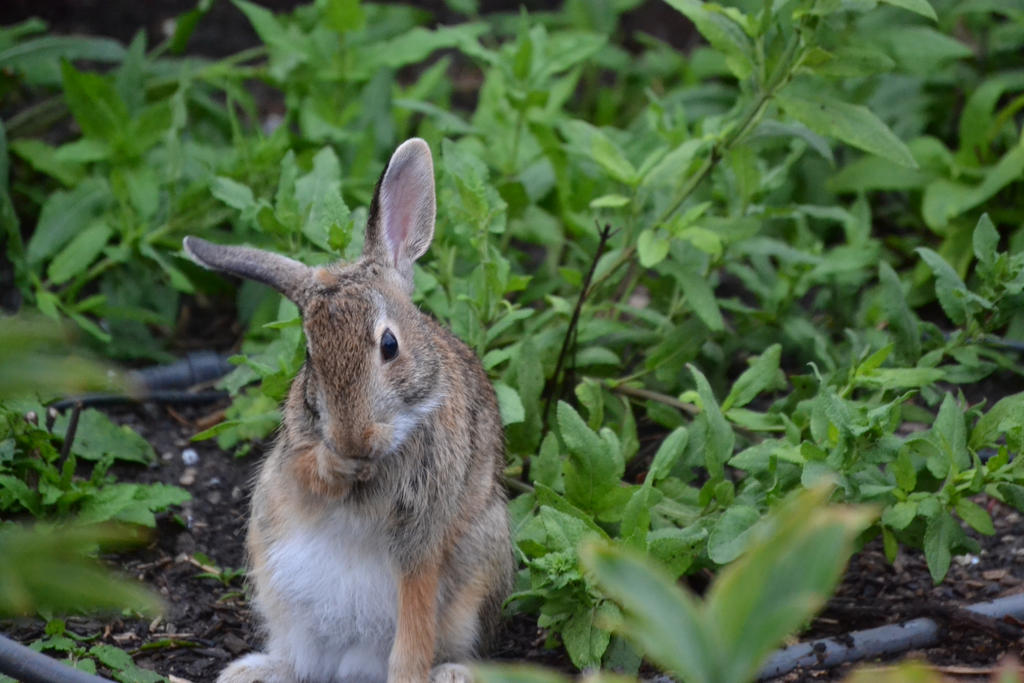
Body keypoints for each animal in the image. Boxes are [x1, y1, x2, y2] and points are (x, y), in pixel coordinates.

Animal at [182, 138, 514, 683]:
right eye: (310, 357)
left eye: (389, 345)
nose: (353, 439)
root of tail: (350, 664)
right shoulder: (293, 453)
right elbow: (306, 470)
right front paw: (336, 463)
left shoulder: (424, 533)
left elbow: (415, 618)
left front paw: (409, 678)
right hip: (273, 569)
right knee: (300, 660)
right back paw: (251, 671)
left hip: (480, 561)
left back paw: (450, 675)